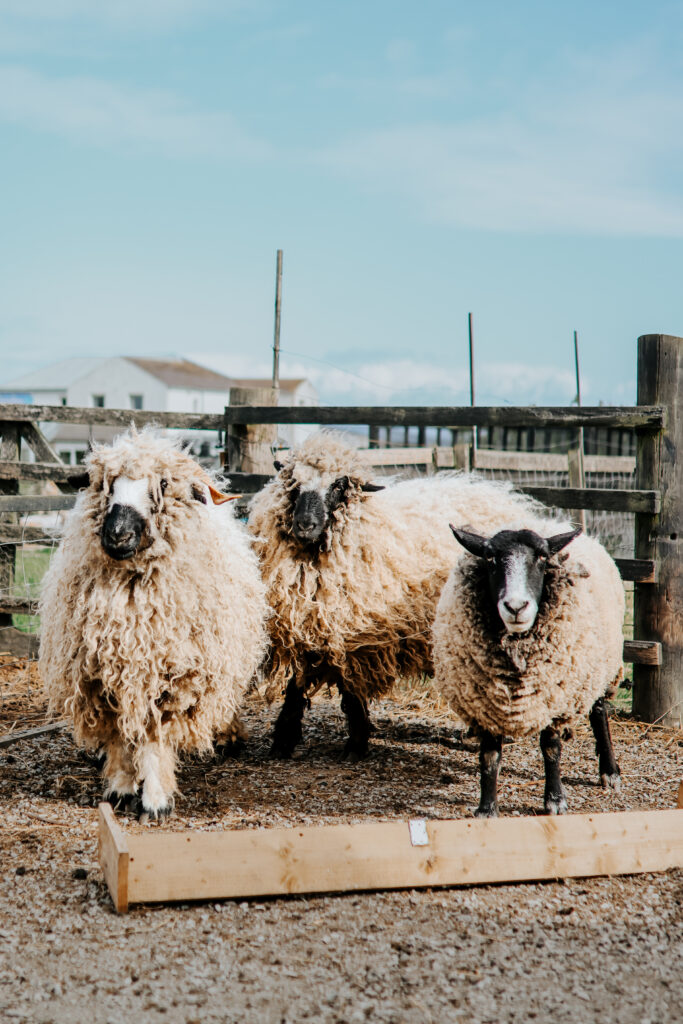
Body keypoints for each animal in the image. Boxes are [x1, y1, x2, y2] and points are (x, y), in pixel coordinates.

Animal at [39, 428, 269, 821]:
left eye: (162, 484)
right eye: (104, 484)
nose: (117, 534)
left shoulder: (172, 677)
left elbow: (153, 737)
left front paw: (155, 799)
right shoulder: (102, 673)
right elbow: (119, 736)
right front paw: (120, 788)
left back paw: (226, 736)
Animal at [247, 431, 554, 760]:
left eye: (339, 485)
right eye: (293, 482)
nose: (305, 525)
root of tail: (507, 499)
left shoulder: (358, 637)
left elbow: (351, 690)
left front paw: (356, 744)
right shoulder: (306, 626)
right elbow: (296, 686)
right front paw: (283, 741)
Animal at [432, 524, 625, 817]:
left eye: (543, 557)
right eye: (490, 558)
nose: (515, 607)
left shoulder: (555, 696)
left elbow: (551, 748)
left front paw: (555, 800)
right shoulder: (486, 700)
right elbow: (489, 755)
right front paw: (487, 807)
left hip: (598, 668)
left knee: (600, 711)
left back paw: (609, 772)